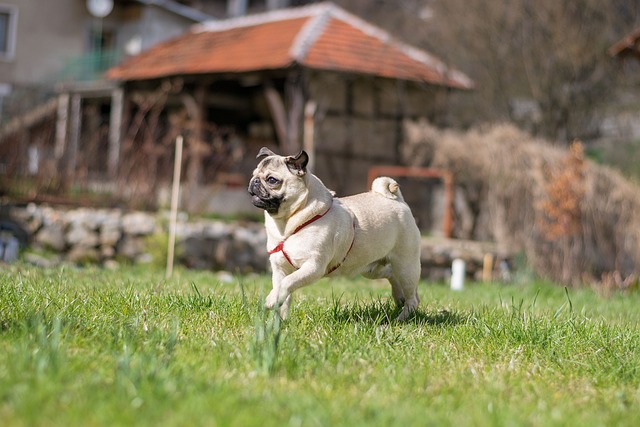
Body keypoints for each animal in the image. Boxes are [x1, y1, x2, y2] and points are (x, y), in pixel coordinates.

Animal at [248, 147, 422, 320]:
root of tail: (397, 200)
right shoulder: (280, 269)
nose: (254, 181)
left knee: (412, 298)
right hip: (371, 269)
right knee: (392, 275)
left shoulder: (313, 267)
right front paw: (280, 321)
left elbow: (287, 283)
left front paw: (271, 300)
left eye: (272, 180)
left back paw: (401, 318)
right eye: (254, 174)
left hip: (406, 266)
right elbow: (284, 294)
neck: (287, 226)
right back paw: (399, 298)